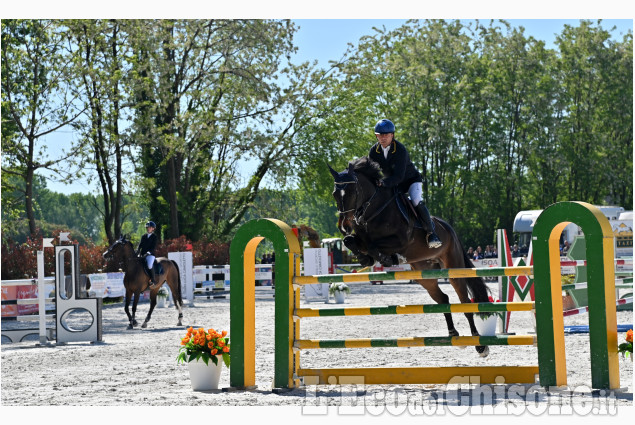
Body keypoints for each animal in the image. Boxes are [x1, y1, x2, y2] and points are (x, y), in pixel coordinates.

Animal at [330, 157, 494, 356]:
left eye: (353, 192)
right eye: (335, 194)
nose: (344, 226)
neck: (374, 210)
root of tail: (450, 229)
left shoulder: (401, 241)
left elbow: (373, 246)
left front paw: (388, 258)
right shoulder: (360, 237)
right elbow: (350, 241)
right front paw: (365, 259)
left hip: (454, 269)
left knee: (465, 303)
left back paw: (480, 346)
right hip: (425, 275)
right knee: (443, 299)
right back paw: (453, 334)